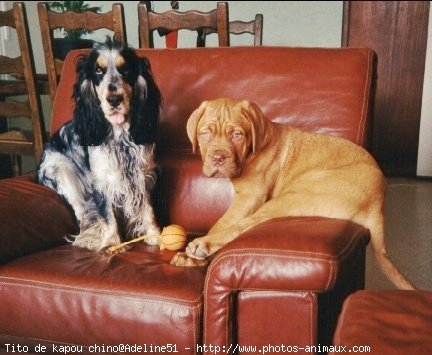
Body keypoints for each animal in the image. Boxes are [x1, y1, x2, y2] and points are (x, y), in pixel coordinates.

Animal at [171, 98, 416, 292]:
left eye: (237, 135)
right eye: (205, 134)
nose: (218, 158)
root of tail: (378, 201)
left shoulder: (250, 196)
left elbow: (223, 223)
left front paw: (195, 252)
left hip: (290, 196)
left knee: (244, 225)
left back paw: (203, 246)